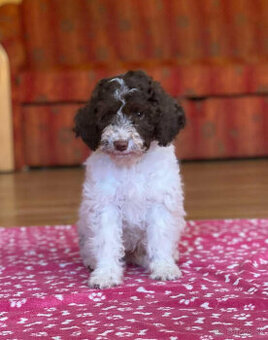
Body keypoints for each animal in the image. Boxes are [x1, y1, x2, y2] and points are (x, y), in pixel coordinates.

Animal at [73, 70, 186, 288]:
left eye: (140, 114)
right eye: (107, 115)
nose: (120, 144)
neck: (130, 165)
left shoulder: (159, 201)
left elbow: (160, 236)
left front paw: (164, 267)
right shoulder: (105, 204)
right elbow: (107, 240)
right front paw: (106, 273)